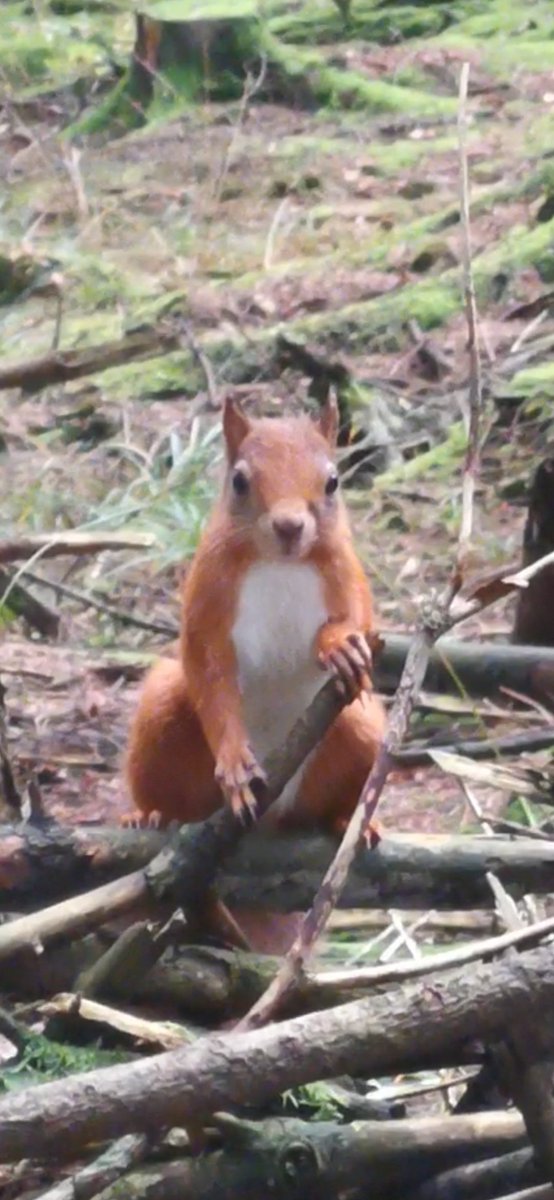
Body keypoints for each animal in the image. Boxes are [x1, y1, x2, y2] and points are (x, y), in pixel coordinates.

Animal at [124, 395, 386, 952]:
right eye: (240, 480)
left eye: (333, 481)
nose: (289, 526)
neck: (279, 562)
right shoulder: (208, 594)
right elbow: (209, 672)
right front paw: (235, 762)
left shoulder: (346, 569)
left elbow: (359, 616)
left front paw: (340, 647)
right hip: (163, 720)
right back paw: (151, 814)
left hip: (358, 732)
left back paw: (350, 822)